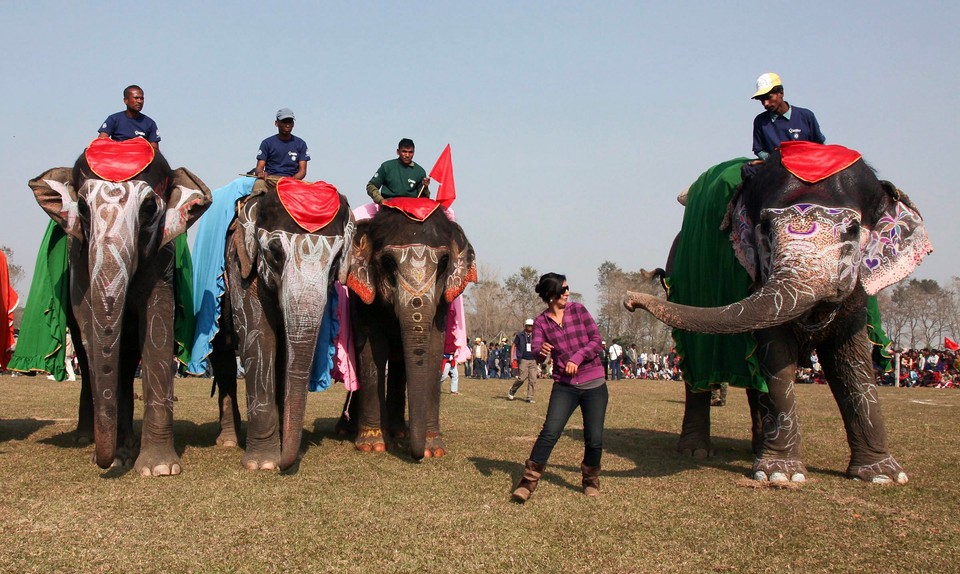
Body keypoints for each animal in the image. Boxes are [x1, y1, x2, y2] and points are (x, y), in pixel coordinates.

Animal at [26, 137, 209, 474]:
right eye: (81, 208)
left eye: (149, 208)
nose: (103, 462)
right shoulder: (78, 255)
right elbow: (89, 324)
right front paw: (122, 457)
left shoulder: (162, 253)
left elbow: (157, 324)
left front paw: (158, 468)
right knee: (86, 352)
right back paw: (89, 439)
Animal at [212, 180, 354, 472]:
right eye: (275, 253)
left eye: (335, 261)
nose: (284, 464)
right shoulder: (240, 266)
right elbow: (259, 339)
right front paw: (263, 463)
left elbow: (284, 354)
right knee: (224, 359)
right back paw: (229, 441)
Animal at [338, 200, 476, 462]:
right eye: (388, 263)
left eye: (444, 262)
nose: (417, 456)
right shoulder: (364, 299)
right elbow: (372, 350)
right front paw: (373, 446)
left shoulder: (441, 303)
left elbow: (434, 350)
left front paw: (435, 450)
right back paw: (347, 430)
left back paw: (399, 432)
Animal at [624, 144, 928, 486]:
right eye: (766, 228)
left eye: (852, 230)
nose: (629, 300)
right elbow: (776, 354)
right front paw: (781, 475)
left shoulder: (858, 295)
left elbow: (852, 363)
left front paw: (884, 475)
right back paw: (696, 451)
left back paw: (755, 448)